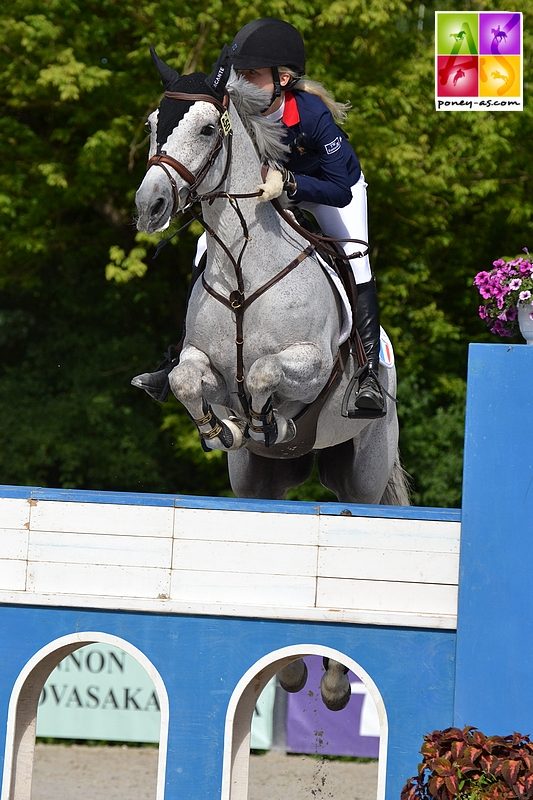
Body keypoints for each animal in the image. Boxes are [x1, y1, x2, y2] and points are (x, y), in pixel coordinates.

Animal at [133, 56, 408, 708]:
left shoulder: (309, 362)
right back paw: (289, 674)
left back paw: (331, 683)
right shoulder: (198, 363)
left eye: (208, 128)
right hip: (258, 482)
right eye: (155, 122)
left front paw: (265, 416)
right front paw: (225, 427)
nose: (149, 205)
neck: (242, 263)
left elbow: (264, 371)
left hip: (362, 476)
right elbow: (188, 380)